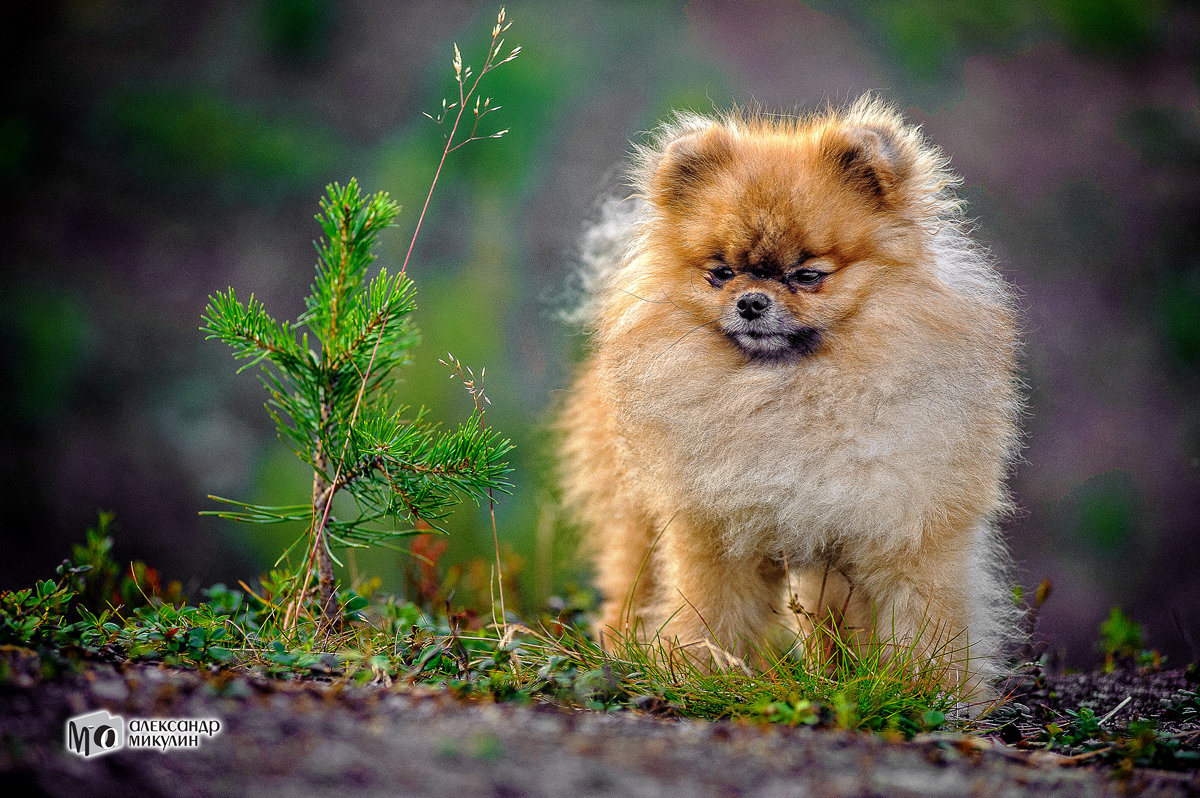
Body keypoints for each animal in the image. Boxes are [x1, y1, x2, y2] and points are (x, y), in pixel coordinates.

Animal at [559, 96, 1022, 700]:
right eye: (721, 273)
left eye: (807, 275)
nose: (752, 301)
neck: (791, 396)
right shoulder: (715, 533)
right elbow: (709, 612)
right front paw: (701, 673)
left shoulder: (906, 529)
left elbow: (925, 620)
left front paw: (924, 691)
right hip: (637, 507)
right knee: (630, 585)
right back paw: (621, 654)